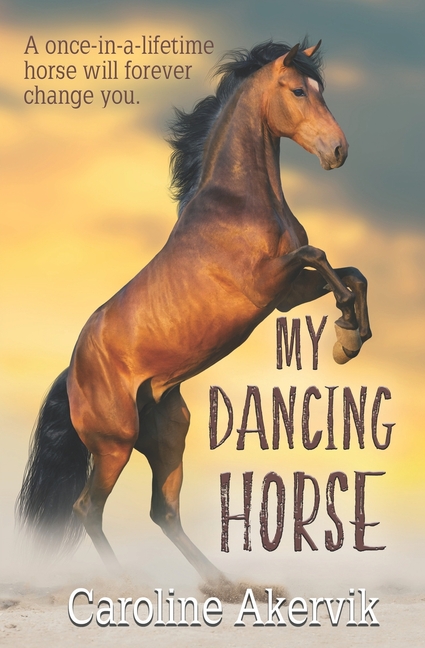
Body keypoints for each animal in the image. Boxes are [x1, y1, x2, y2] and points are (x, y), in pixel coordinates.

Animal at [17, 39, 371, 598]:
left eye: (321, 89)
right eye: (298, 90)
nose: (338, 151)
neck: (239, 204)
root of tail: (72, 372)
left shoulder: (287, 295)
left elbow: (352, 275)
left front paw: (349, 337)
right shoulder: (265, 286)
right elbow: (321, 256)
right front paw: (347, 335)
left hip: (168, 435)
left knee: (164, 512)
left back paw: (224, 583)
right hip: (114, 445)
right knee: (87, 509)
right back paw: (127, 583)